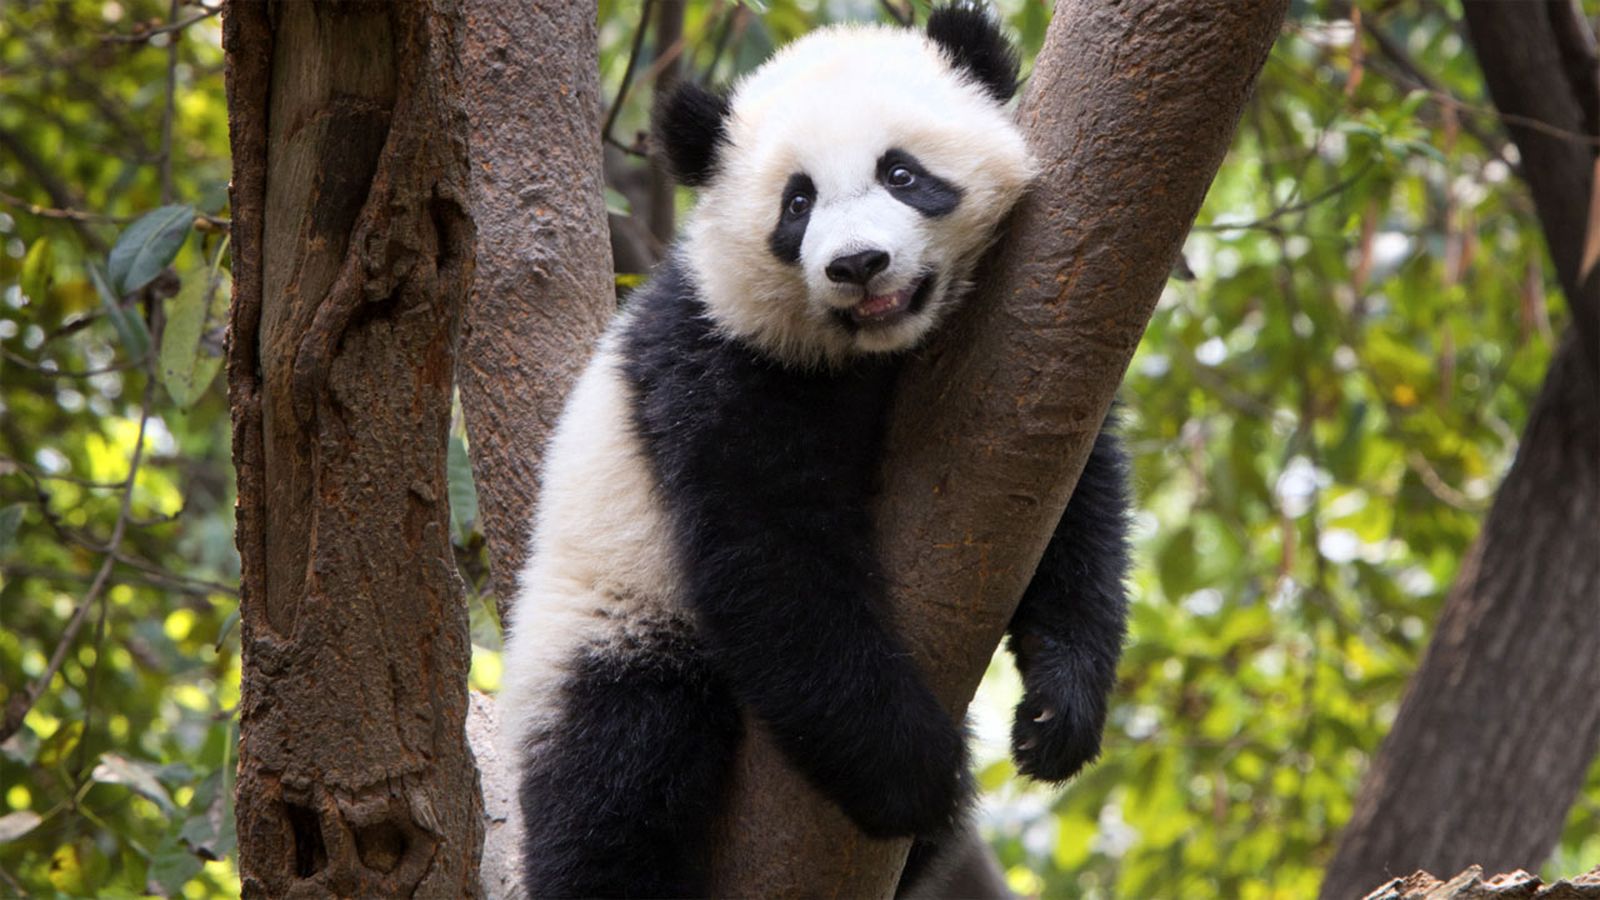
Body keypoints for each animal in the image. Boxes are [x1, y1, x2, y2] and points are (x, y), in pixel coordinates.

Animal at [497, 6, 1131, 897]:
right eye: (797, 202)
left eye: (901, 174)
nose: (858, 264)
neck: (870, 356)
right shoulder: (716, 367)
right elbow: (770, 561)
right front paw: (920, 770)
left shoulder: (1017, 374)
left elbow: (1073, 497)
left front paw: (1057, 708)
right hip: (603, 622)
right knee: (619, 771)